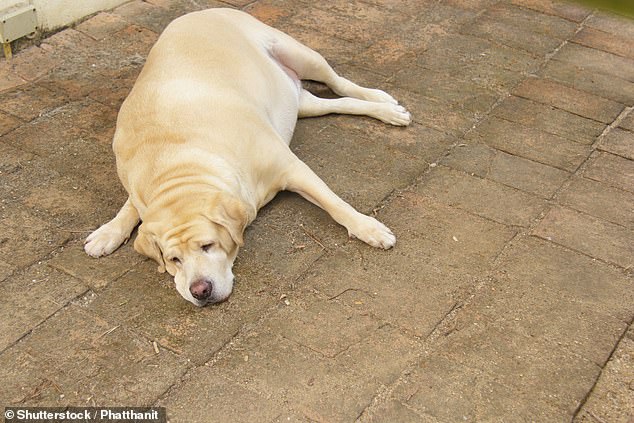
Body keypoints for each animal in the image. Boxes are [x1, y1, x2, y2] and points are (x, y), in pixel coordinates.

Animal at [84, 8, 410, 306]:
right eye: (173, 259)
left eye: (208, 245)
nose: (199, 291)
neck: (176, 164)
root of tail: (199, 10)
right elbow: (130, 207)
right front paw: (108, 232)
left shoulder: (292, 168)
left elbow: (335, 204)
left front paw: (369, 228)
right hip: (300, 103)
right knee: (338, 103)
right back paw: (384, 110)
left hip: (300, 53)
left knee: (339, 82)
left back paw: (383, 102)